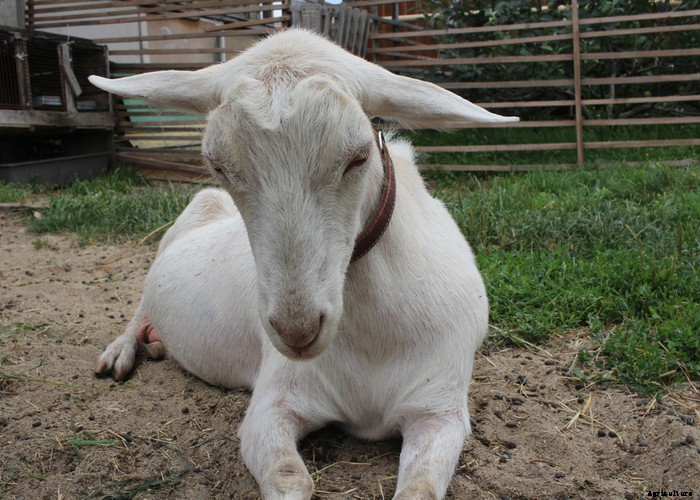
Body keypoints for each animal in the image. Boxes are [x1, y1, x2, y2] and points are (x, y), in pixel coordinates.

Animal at [91, 29, 517, 499]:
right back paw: (120, 351)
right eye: (217, 164)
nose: (297, 331)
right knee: (139, 306)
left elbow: (419, 486)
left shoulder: (439, 407)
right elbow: (288, 477)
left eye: (359, 155)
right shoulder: (273, 403)